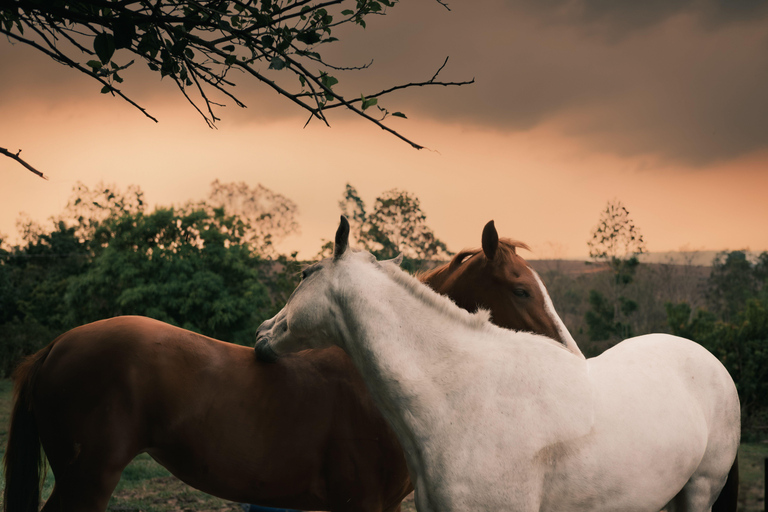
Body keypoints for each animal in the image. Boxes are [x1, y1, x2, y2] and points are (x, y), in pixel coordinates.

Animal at [255, 217, 741, 512]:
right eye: (521, 289)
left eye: (303, 275)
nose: (262, 333)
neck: (461, 396)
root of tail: (707, 359)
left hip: (699, 490)